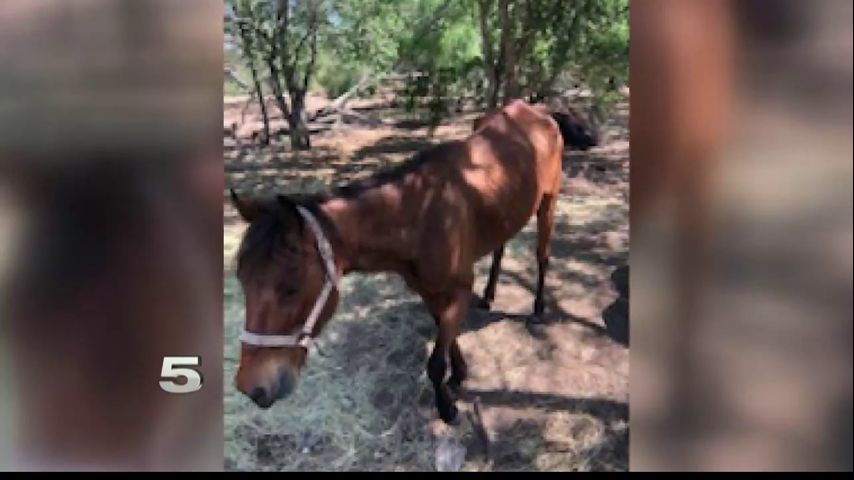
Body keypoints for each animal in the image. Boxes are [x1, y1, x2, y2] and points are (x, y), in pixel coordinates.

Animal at [230, 99, 599, 424]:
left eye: (290, 288)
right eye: (242, 281)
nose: (251, 388)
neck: (419, 215)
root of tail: (539, 111)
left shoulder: (458, 289)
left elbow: (435, 362)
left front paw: (448, 409)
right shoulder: (427, 291)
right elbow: (445, 337)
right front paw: (459, 374)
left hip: (548, 201)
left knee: (542, 255)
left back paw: (537, 308)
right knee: (500, 248)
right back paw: (490, 296)